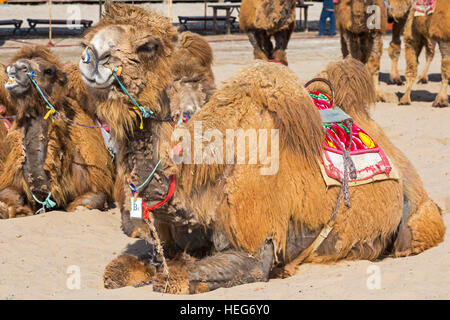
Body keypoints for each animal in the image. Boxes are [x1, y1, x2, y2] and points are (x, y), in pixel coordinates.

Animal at [0, 45, 115, 220]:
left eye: (49, 71)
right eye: (12, 66)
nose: (17, 67)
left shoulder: (97, 182)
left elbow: (87, 203)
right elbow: (7, 198)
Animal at [79, 2, 444, 294]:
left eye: (148, 46)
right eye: (90, 34)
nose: (89, 55)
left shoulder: (254, 248)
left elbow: (177, 278)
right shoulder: (167, 243)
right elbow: (116, 271)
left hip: (416, 217)